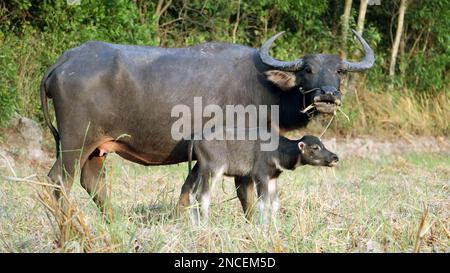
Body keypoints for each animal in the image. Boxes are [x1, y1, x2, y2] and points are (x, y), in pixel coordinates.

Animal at [41, 29, 372, 216]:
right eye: (307, 69)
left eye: (339, 70)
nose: (327, 95)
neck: (267, 90)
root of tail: (65, 61)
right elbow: (245, 194)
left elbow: (187, 189)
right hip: (74, 142)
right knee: (58, 181)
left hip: (97, 147)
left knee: (92, 182)